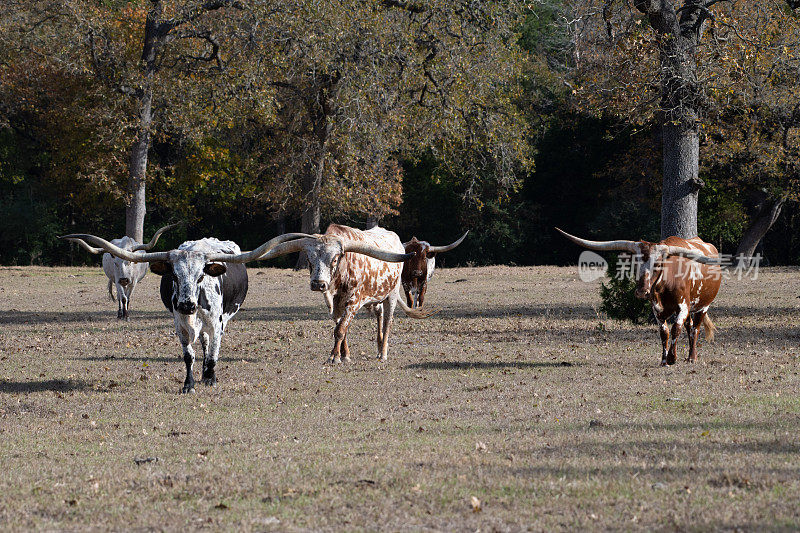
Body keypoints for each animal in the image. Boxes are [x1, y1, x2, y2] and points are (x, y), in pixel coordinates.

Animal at [60, 232, 306, 390]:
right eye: (174, 276)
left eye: (201, 276)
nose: (187, 305)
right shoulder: (180, 326)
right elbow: (189, 356)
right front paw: (189, 384)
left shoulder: (217, 324)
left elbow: (214, 354)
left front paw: (210, 378)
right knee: (203, 343)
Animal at [253, 222, 428, 364]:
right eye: (309, 260)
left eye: (335, 259)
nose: (318, 284)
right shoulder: (333, 304)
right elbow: (341, 327)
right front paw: (344, 355)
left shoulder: (354, 302)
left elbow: (340, 329)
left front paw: (334, 357)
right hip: (376, 296)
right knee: (379, 315)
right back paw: (378, 350)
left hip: (392, 294)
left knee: (387, 322)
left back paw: (383, 353)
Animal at [556, 229, 724, 366]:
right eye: (635, 262)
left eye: (657, 264)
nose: (642, 292)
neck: (664, 287)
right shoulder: (657, 309)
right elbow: (664, 332)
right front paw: (664, 360)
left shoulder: (683, 306)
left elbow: (676, 328)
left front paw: (672, 358)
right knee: (689, 327)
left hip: (703, 306)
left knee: (695, 329)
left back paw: (692, 357)